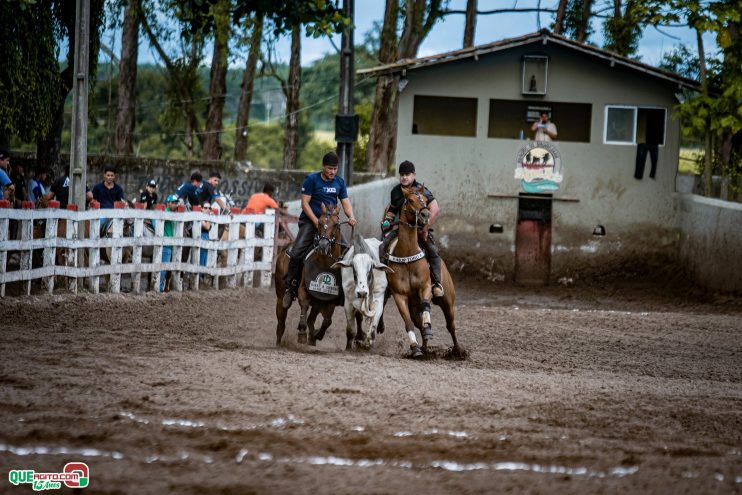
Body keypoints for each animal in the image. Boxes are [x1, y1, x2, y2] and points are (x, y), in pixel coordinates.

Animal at [274, 203, 348, 346]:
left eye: (336, 224)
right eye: (319, 222)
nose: (323, 245)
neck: (324, 263)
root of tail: (285, 248)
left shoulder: (330, 297)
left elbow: (327, 320)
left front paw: (317, 335)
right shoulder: (304, 290)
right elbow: (304, 305)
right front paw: (302, 333)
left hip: (318, 303)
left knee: (312, 320)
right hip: (280, 297)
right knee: (281, 323)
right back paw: (279, 343)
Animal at [384, 184, 464, 358]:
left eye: (426, 200)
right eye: (410, 200)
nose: (425, 215)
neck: (407, 254)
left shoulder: (425, 287)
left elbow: (426, 306)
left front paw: (428, 327)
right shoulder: (399, 296)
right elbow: (408, 323)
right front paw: (415, 348)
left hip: (448, 301)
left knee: (451, 325)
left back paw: (458, 351)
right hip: (413, 305)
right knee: (417, 324)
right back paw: (425, 349)